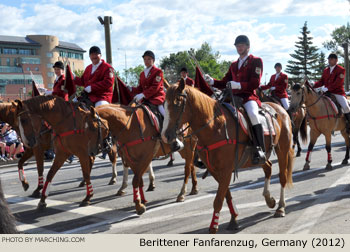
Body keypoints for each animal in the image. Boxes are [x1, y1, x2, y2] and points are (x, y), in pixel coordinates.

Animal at [163, 79, 294, 234]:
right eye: (164, 104)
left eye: (177, 103)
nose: (166, 136)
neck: (215, 128)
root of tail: (280, 109)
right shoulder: (215, 170)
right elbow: (226, 195)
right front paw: (234, 220)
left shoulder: (225, 170)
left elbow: (218, 199)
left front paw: (214, 226)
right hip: (259, 158)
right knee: (268, 168)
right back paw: (269, 199)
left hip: (282, 150)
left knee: (282, 177)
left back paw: (280, 207)